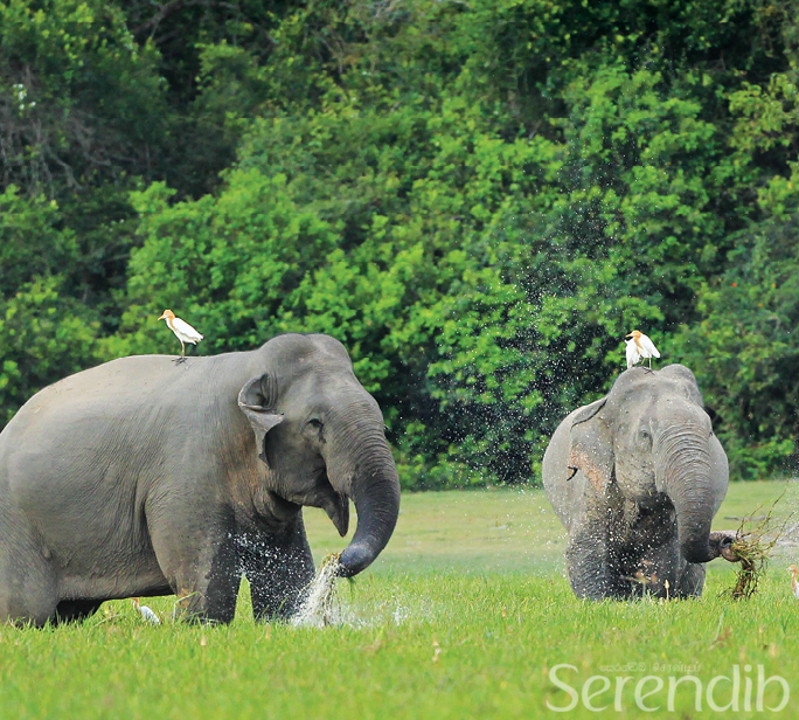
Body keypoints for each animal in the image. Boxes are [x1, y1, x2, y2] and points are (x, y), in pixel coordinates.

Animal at [0, 333, 400, 626]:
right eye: (315, 423)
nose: (339, 559)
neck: (249, 365)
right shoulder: (184, 475)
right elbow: (206, 577)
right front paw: (198, 629)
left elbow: (286, 573)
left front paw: (286, 624)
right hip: (15, 530)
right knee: (26, 613)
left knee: (69, 613)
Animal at [542, 364, 737, 600]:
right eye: (645, 435)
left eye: (709, 432)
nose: (726, 540)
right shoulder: (593, 485)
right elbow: (586, 549)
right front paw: (604, 602)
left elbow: (664, 557)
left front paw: (648, 599)